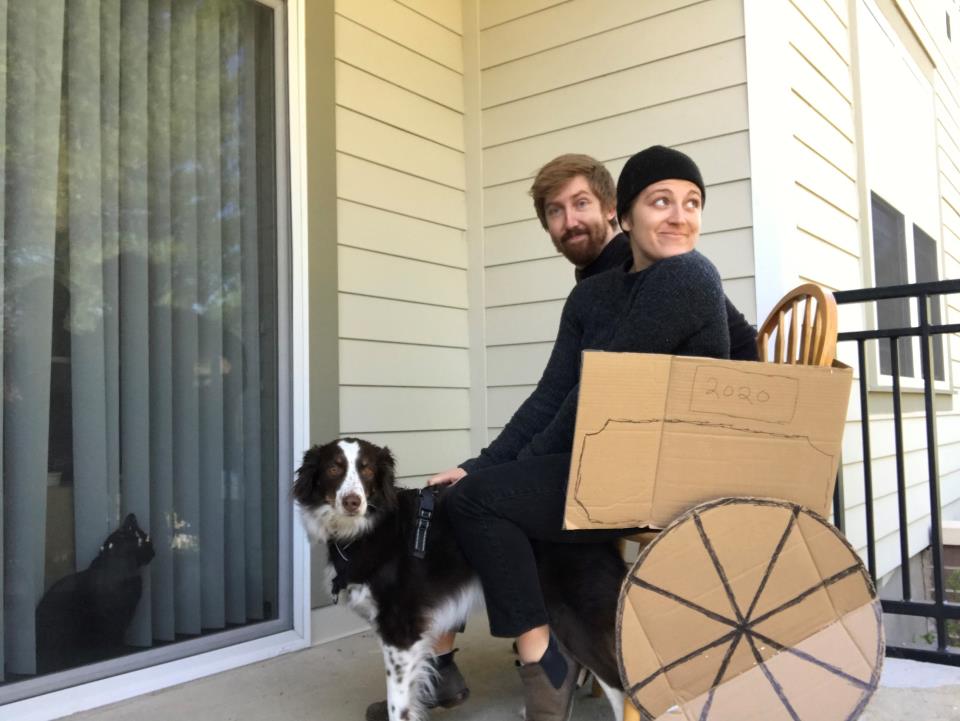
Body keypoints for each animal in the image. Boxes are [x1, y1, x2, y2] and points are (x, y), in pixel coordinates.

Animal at [292, 438, 632, 720]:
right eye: (334, 468)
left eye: (368, 469)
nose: (353, 501)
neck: (367, 528)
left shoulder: (400, 630)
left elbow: (398, 704)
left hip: (578, 616)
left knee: (619, 685)